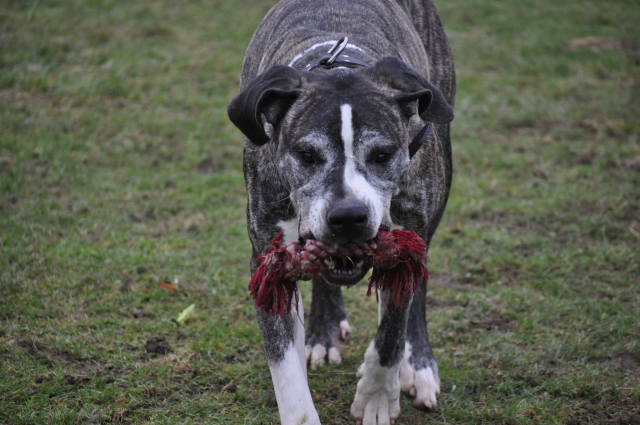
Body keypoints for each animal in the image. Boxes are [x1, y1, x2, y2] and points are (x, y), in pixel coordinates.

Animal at [226, 1, 456, 422]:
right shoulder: (269, 263)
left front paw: (378, 396)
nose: (348, 217)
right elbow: (287, 373)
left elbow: (391, 332)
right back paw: (323, 329)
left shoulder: (405, 243)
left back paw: (417, 366)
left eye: (382, 155)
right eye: (306, 155)